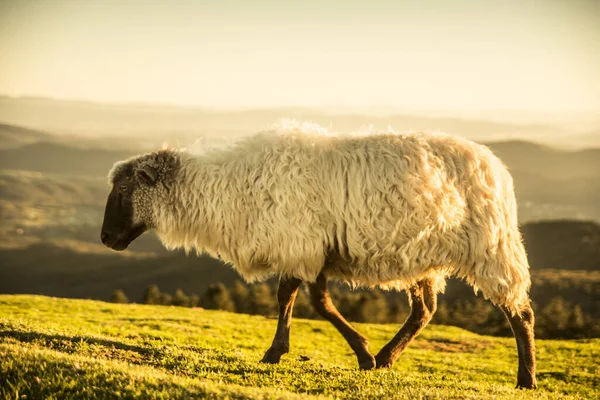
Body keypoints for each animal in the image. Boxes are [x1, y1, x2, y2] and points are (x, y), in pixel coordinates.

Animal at [101, 123, 536, 390]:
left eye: (122, 190)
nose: (105, 239)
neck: (223, 189)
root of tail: (496, 166)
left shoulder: (299, 242)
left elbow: (299, 300)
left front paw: (282, 353)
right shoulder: (310, 249)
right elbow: (314, 301)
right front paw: (360, 354)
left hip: (492, 247)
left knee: (520, 312)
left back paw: (526, 378)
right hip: (422, 255)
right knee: (424, 310)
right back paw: (388, 356)